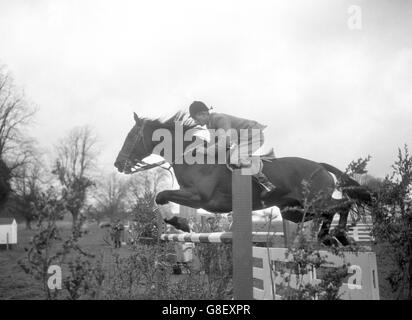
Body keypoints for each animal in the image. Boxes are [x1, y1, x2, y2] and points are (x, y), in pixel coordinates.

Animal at [114, 112, 372, 245]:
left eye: (131, 137)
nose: (118, 164)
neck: (193, 157)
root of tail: (320, 165)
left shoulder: (200, 198)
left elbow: (161, 195)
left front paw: (181, 224)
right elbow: (161, 197)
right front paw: (180, 223)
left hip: (315, 201)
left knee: (342, 204)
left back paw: (338, 235)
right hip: (294, 210)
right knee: (328, 212)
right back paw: (327, 236)